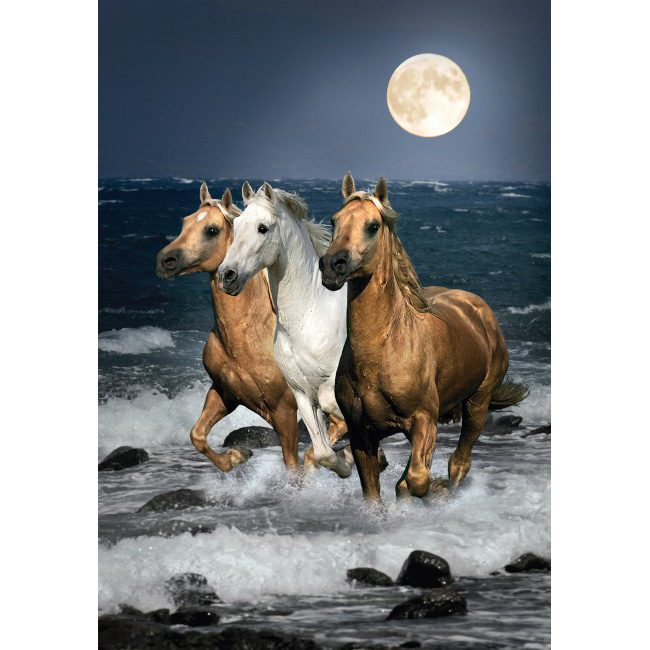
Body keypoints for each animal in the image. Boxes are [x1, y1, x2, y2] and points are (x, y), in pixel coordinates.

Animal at [155, 182, 300, 472]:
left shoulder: (285, 411)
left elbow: (295, 466)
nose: (165, 260)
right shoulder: (225, 393)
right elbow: (197, 435)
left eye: (212, 230)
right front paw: (236, 456)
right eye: (185, 222)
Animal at [217, 182, 356, 479]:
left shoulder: (334, 383)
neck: (309, 317)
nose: (227, 276)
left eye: (263, 228)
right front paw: (346, 464)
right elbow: (323, 451)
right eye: (237, 225)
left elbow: (332, 405)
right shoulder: (301, 392)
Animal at [319, 173, 528, 501]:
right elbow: (376, 492)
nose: (332, 265)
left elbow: (418, 480)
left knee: (459, 461)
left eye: (373, 226)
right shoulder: (361, 435)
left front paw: (420, 489)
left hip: (477, 404)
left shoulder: (423, 419)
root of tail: (480, 310)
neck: (383, 351)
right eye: (334, 219)